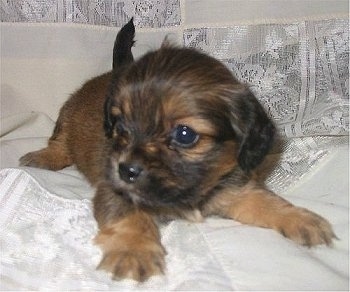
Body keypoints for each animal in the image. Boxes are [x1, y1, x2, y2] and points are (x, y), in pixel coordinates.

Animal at [19, 19, 336, 282]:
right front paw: (133, 251)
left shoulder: (234, 188)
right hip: (66, 117)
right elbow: (131, 219)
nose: (125, 170)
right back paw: (42, 157)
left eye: (185, 135)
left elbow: (265, 201)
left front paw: (301, 219)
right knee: (59, 145)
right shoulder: (116, 191)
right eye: (119, 125)